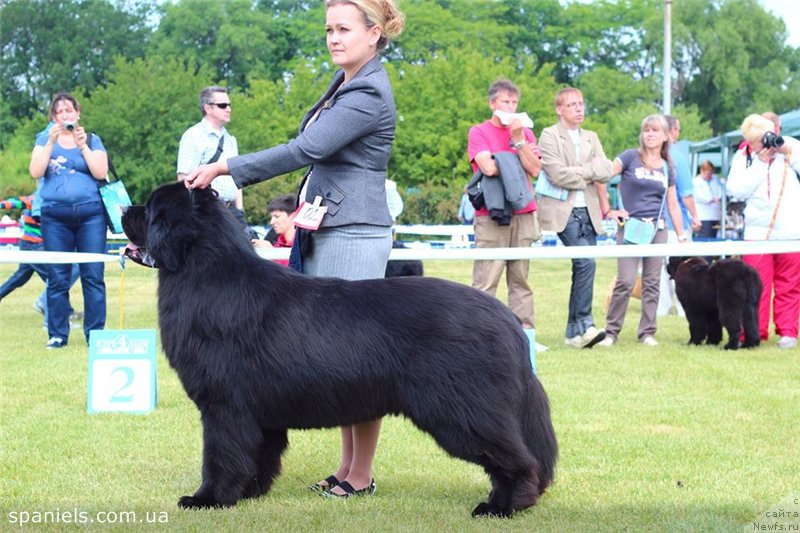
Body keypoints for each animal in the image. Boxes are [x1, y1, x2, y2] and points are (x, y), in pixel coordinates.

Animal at [122, 183, 556, 516]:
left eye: (151, 209)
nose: (125, 207)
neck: (207, 276)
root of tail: (505, 318)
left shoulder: (224, 406)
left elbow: (221, 456)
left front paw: (207, 499)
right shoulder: (259, 414)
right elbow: (258, 456)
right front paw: (249, 493)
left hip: (462, 409)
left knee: (516, 459)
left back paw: (503, 506)